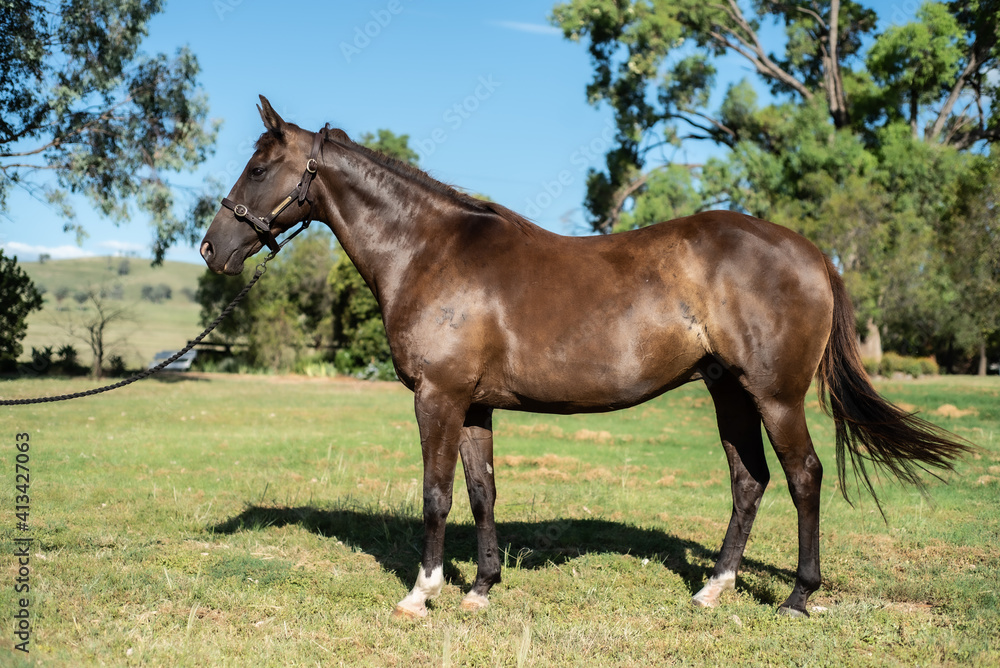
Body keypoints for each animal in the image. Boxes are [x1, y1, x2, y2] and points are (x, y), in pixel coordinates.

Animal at [200, 96, 969, 619]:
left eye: (260, 166)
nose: (212, 249)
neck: (429, 252)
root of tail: (812, 253)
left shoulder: (438, 397)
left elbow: (435, 494)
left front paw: (423, 594)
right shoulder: (474, 405)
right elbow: (481, 492)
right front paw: (482, 588)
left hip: (775, 395)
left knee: (804, 477)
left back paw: (797, 597)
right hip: (729, 391)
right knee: (749, 481)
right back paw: (714, 589)